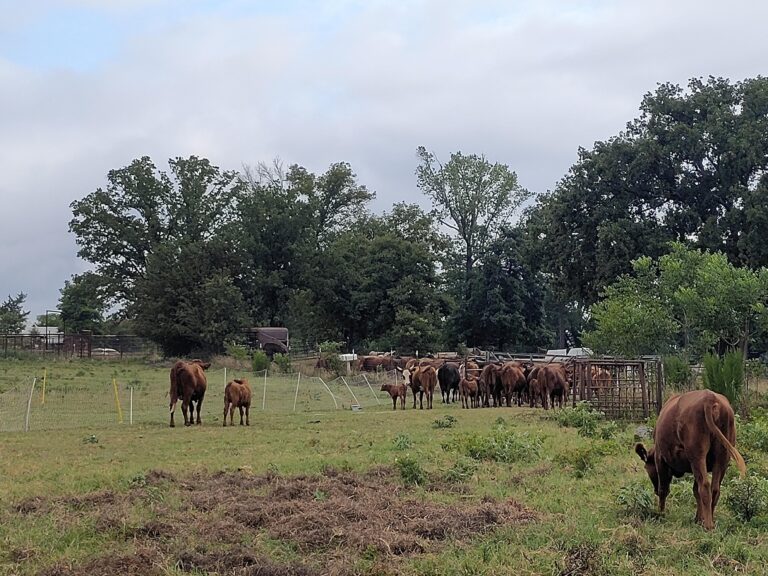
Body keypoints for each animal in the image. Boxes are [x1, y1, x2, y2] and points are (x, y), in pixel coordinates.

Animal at [632, 388, 748, 532]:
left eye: (648, 469)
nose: (654, 491)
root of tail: (710, 398)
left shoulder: (660, 459)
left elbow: (664, 489)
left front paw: (660, 514)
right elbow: (695, 490)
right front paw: (698, 518)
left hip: (697, 455)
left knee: (704, 486)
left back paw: (708, 526)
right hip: (722, 457)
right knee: (714, 489)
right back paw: (710, 520)